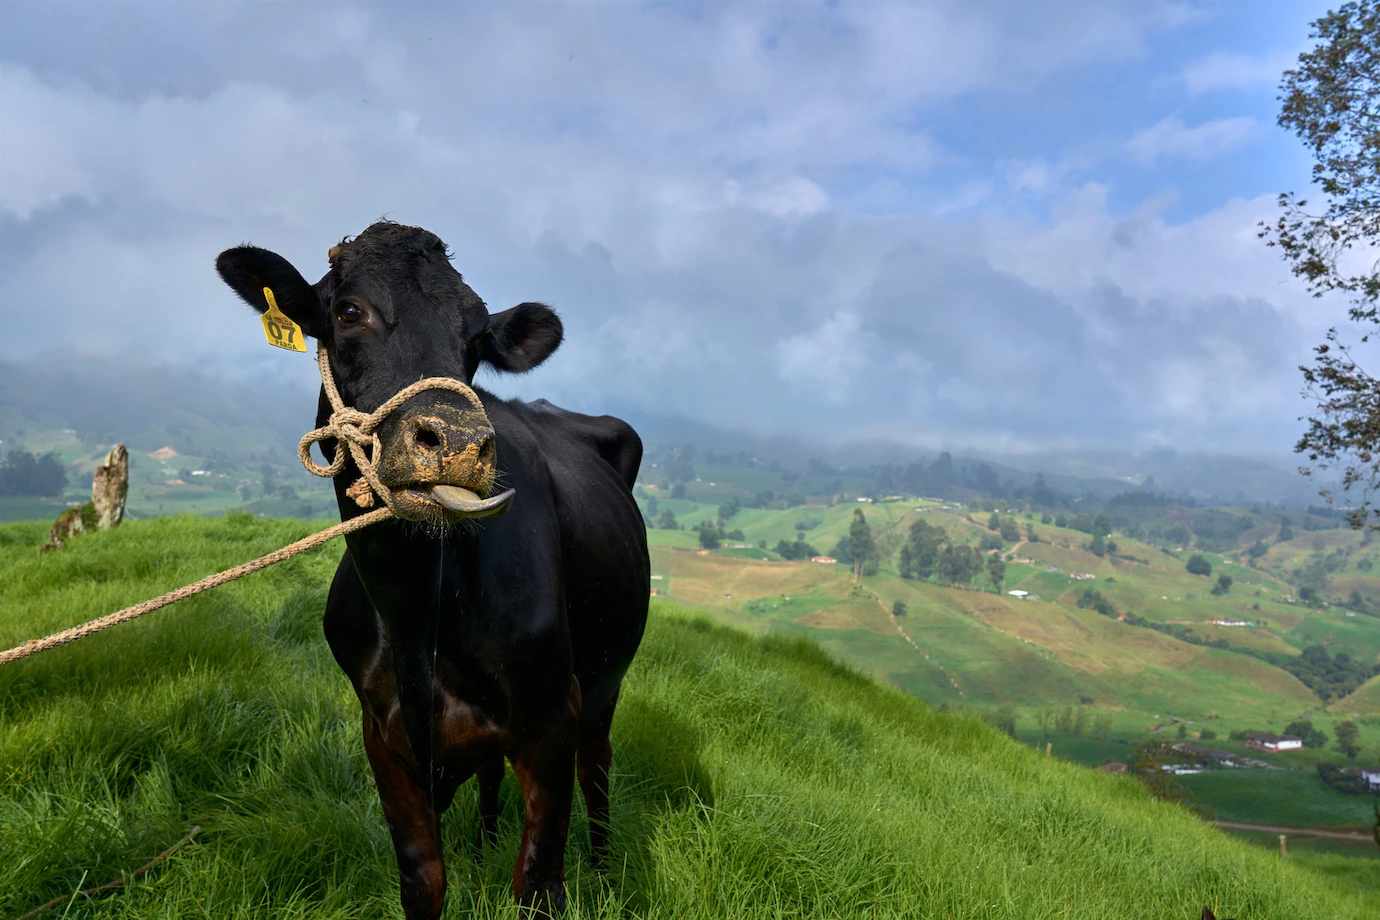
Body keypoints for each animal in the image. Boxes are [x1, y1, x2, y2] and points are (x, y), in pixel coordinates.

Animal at [218, 219, 648, 915]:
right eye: (349, 311)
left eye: (477, 337)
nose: (460, 445)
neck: (414, 605)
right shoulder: (381, 732)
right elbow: (423, 880)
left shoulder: (553, 712)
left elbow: (539, 884)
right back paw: (483, 844)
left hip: (604, 685)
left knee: (599, 767)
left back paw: (606, 869)